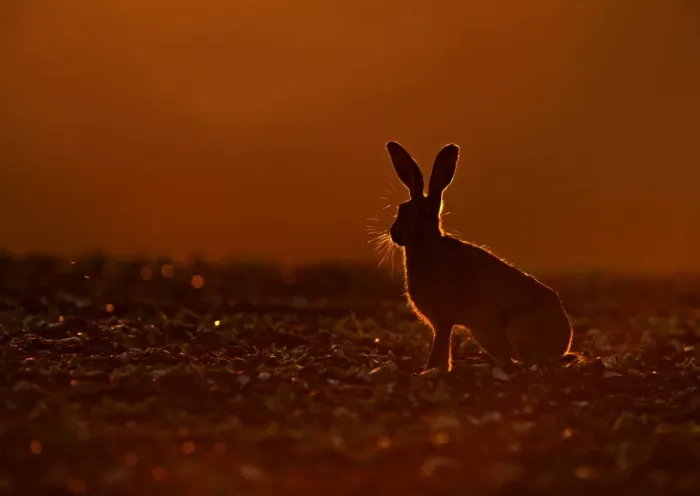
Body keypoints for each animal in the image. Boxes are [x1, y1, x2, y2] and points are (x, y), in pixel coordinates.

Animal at [385, 141, 574, 372]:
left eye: (420, 214)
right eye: (401, 208)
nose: (395, 234)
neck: (427, 246)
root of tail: (564, 340)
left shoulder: (443, 320)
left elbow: (440, 346)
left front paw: (431, 370)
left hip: (516, 333)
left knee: (532, 362)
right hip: (483, 334)